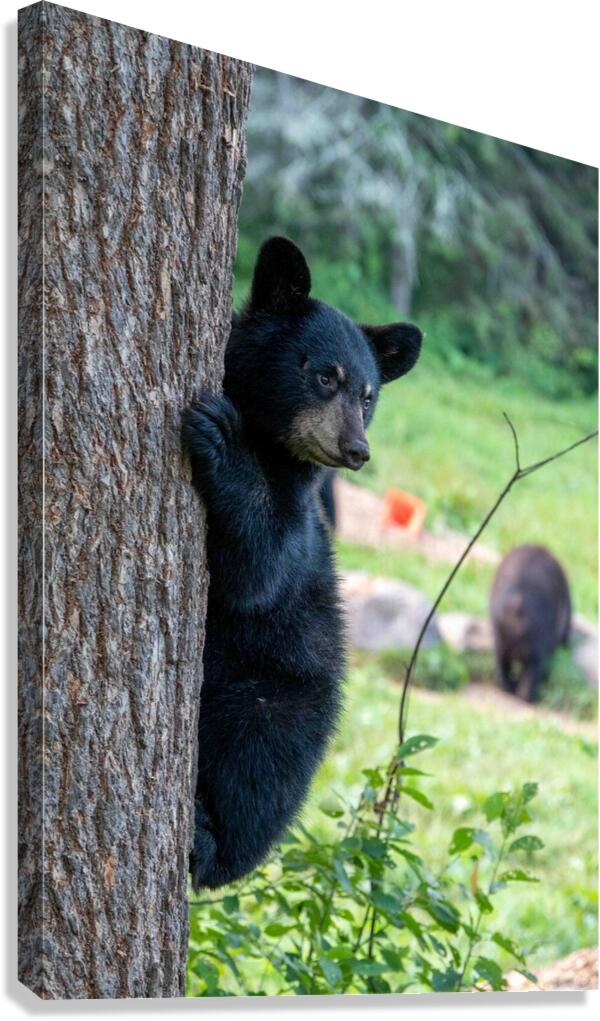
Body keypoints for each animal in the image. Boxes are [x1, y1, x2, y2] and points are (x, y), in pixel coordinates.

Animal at [182, 236, 422, 890]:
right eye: (324, 376)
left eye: (368, 395)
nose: (357, 450)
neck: (271, 445)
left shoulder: (297, 515)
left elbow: (256, 571)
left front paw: (218, 436)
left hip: (280, 696)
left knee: (255, 765)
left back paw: (209, 841)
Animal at [490, 544, 571, 703]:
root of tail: (517, 604)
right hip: (537, 646)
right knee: (532, 670)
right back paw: (529, 696)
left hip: (500, 641)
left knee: (502, 664)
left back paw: (509, 689)